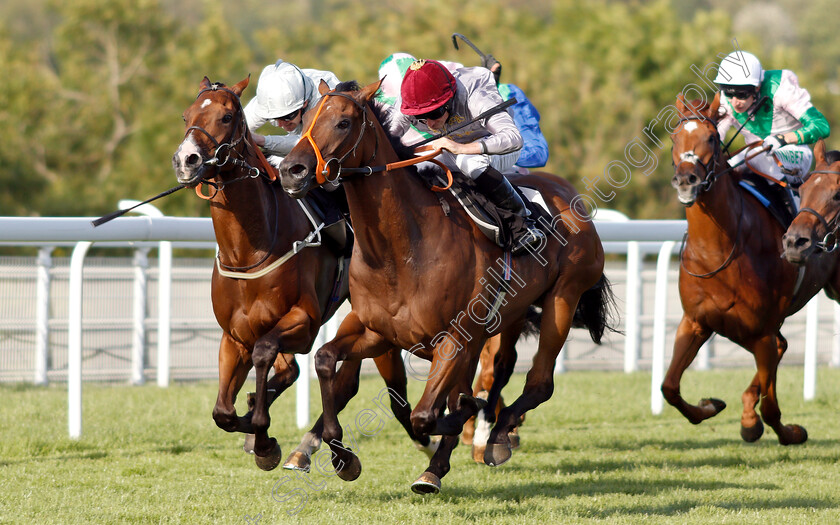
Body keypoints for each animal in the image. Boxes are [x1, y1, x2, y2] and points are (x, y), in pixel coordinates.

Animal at [168, 77, 436, 470]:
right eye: (186, 116)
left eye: (226, 116)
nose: (186, 160)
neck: (251, 249)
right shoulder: (234, 336)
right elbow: (223, 412)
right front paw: (255, 428)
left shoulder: (303, 322)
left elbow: (267, 356)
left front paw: (264, 441)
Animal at [276, 80, 612, 494]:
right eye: (305, 118)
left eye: (343, 122)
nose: (291, 171)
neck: (401, 252)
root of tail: (567, 192)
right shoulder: (379, 332)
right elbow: (326, 361)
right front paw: (343, 458)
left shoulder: (453, 338)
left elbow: (428, 413)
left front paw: (456, 427)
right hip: (509, 315)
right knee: (502, 370)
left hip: (562, 298)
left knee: (538, 383)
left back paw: (492, 439)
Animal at [664, 93, 832, 442]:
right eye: (674, 137)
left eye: (711, 138)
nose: (686, 180)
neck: (718, 252)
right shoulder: (695, 321)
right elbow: (669, 387)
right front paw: (710, 406)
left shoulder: (761, 331)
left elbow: (770, 409)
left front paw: (785, 431)